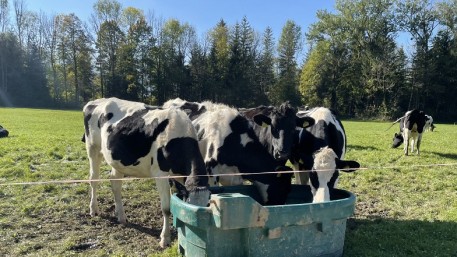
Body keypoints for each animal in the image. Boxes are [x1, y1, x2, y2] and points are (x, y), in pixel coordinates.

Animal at [83, 97, 209, 247]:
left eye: (207, 204)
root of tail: (96, 101)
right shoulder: (161, 175)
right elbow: (166, 208)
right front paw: (165, 238)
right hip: (93, 148)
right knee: (93, 179)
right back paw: (93, 209)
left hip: (116, 159)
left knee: (115, 183)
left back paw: (121, 216)